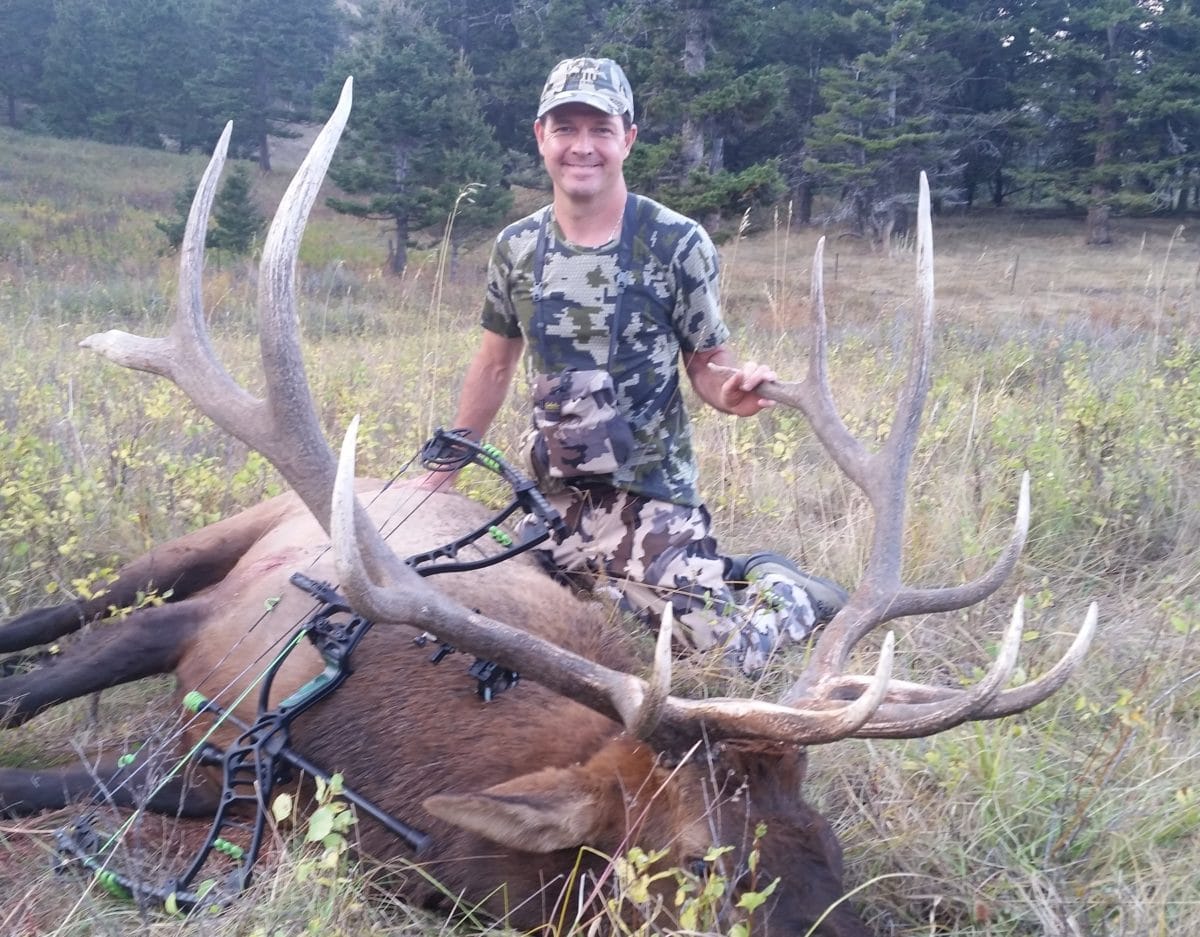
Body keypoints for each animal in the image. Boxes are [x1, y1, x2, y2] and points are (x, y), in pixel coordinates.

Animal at [0, 79, 1094, 936]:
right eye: (699, 863)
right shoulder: (213, 639)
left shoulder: (235, 777)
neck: (384, 758)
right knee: (79, 603)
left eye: (826, 841)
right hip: (210, 542)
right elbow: (38, 709)